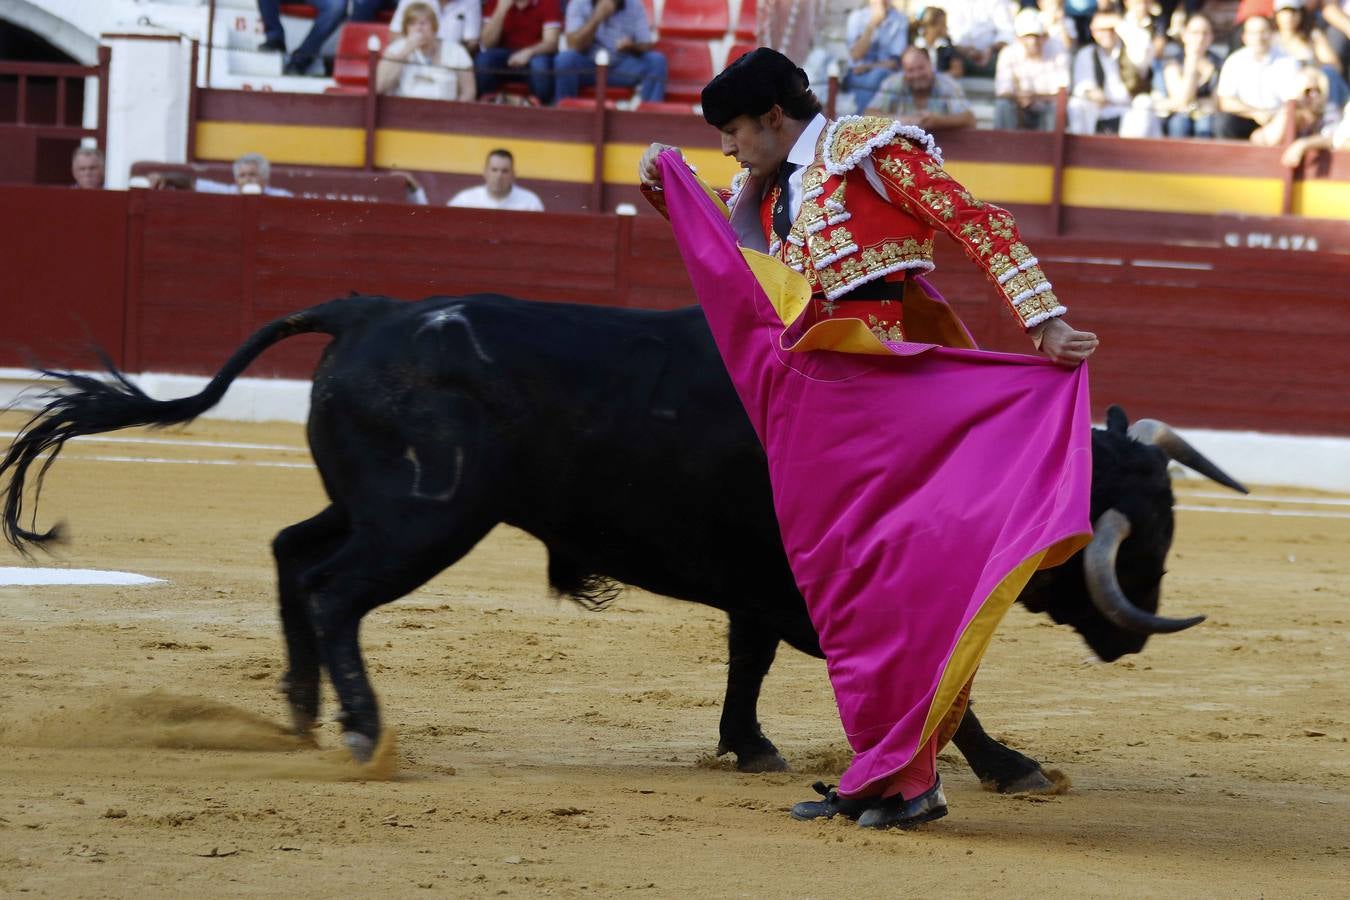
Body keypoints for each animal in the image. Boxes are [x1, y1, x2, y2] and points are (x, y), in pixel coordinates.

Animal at [2, 294, 1242, 788]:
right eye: (1134, 539)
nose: (1134, 637)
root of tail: (369, 310)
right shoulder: (827, 589)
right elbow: (939, 686)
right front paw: (1012, 766)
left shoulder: (767, 587)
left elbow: (748, 660)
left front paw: (748, 746)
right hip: (429, 517)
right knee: (337, 590)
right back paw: (360, 730)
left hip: (380, 504)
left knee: (290, 554)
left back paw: (303, 714)